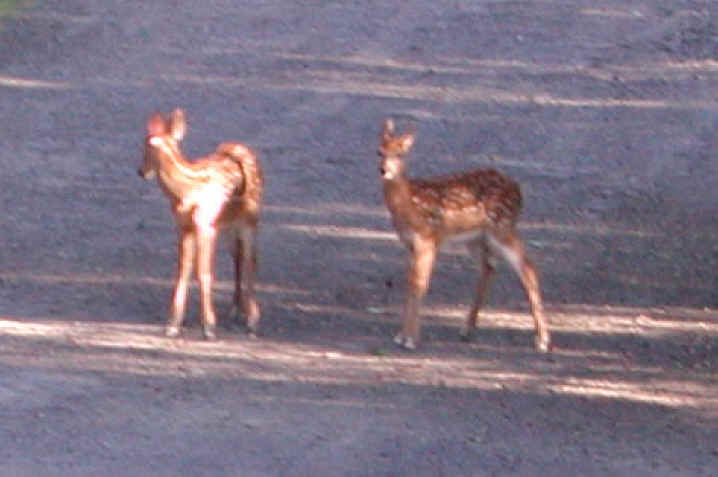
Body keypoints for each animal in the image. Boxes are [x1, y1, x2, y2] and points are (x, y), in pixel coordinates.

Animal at [138, 108, 264, 340]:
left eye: (147, 146)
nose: (140, 171)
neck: (185, 192)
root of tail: (243, 148)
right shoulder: (184, 226)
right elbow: (184, 270)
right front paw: (173, 324)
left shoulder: (206, 225)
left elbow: (204, 273)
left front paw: (209, 327)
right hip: (228, 224)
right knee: (238, 256)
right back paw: (236, 309)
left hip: (250, 218)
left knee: (251, 258)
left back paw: (252, 320)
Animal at [377, 119, 551, 352]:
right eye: (379, 152)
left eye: (400, 154)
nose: (383, 170)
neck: (409, 204)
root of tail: (519, 190)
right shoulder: (410, 244)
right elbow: (411, 283)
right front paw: (402, 336)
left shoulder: (427, 239)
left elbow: (419, 284)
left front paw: (410, 338)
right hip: (476, 238)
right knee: (490, 267)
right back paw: (467, 328)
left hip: (501, 228)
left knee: (528, 268)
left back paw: (542, 340)